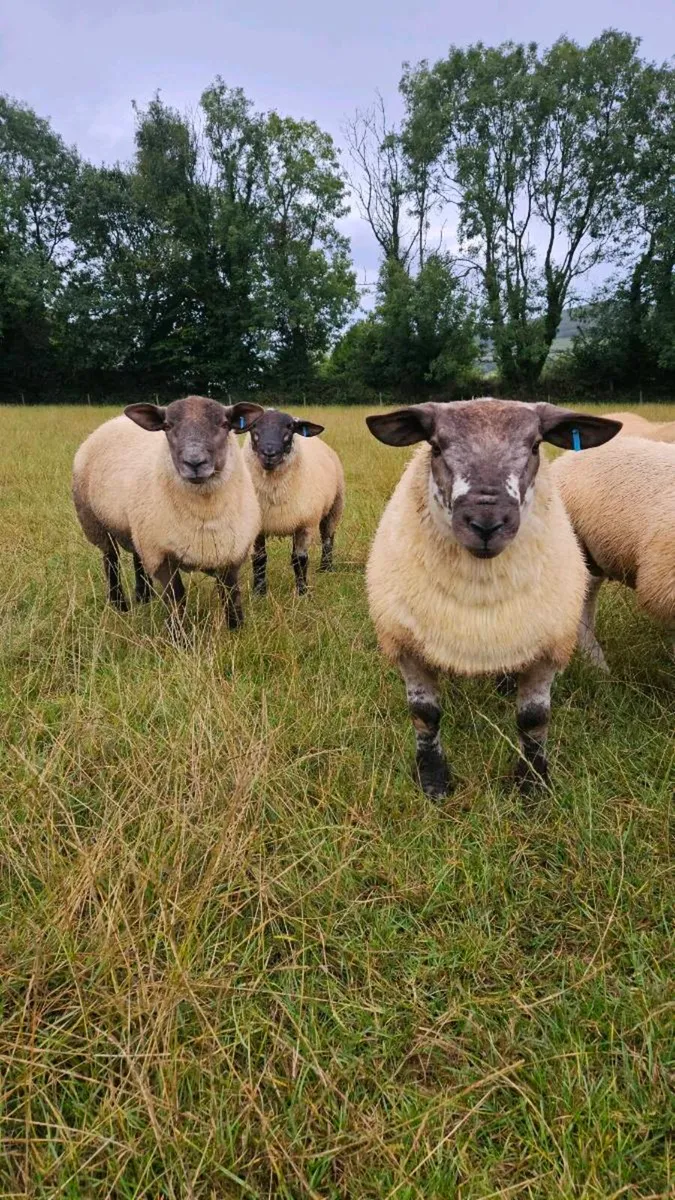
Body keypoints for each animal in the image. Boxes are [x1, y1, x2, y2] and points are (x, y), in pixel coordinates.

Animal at [72, 395, 264, 628]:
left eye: (225, 424)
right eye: (167, 426)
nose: (194, 462)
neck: (205, 513)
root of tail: (115, 420)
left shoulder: (231, 552)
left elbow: (231, 595)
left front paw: (236, 629)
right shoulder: (160, 554)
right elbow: (176, 598)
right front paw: (180, 634)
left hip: (138, 529)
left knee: (137, 559)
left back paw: (143, 598)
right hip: (95, 523)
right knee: (111, 561)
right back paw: (120, 605)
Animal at [242, 409, 345, 595]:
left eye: (290, 427)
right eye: (253, 426)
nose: (269, 453)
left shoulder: (305, 524)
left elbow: (300, 559)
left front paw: (302, 592)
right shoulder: (258, 526)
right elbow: (259, 558)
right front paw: (259, 592)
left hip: (335, 506)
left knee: (328, 538)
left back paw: (326, 568)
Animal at [365, 399, 621, 799]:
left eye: (535, 446)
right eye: (435, 446)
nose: (486, 523)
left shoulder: (547, 646)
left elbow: (534, 719)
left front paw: (532, 783)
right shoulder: (407, 644)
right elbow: (425, 716)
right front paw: (433, 779)